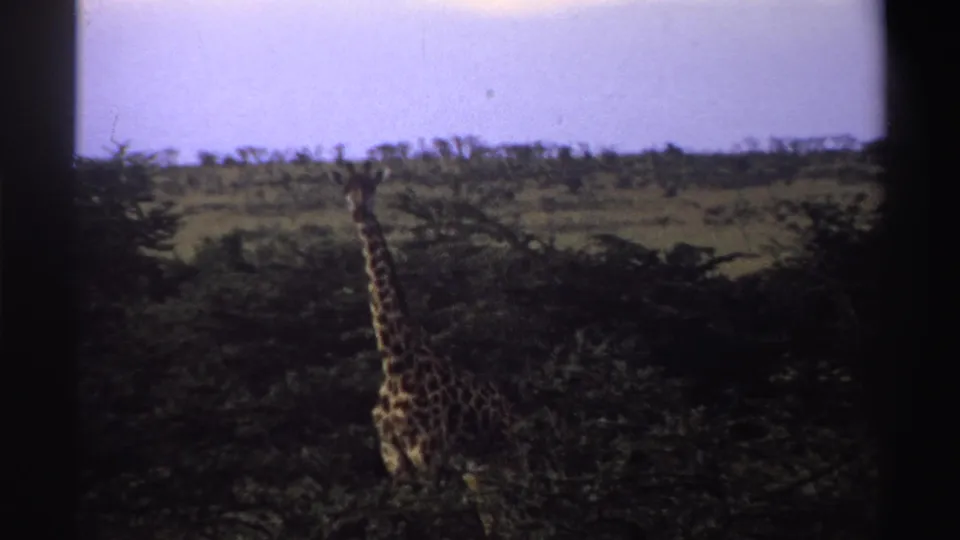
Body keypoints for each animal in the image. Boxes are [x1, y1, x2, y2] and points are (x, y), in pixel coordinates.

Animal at [333, 161, 526, 536]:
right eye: (346, 190)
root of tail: (513, 411)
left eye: (372, 188)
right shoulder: (394, 457)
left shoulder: (429, 453)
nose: (360, 213)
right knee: (492, 511)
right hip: (478, 467)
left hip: (502, 457)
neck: (396, 361)